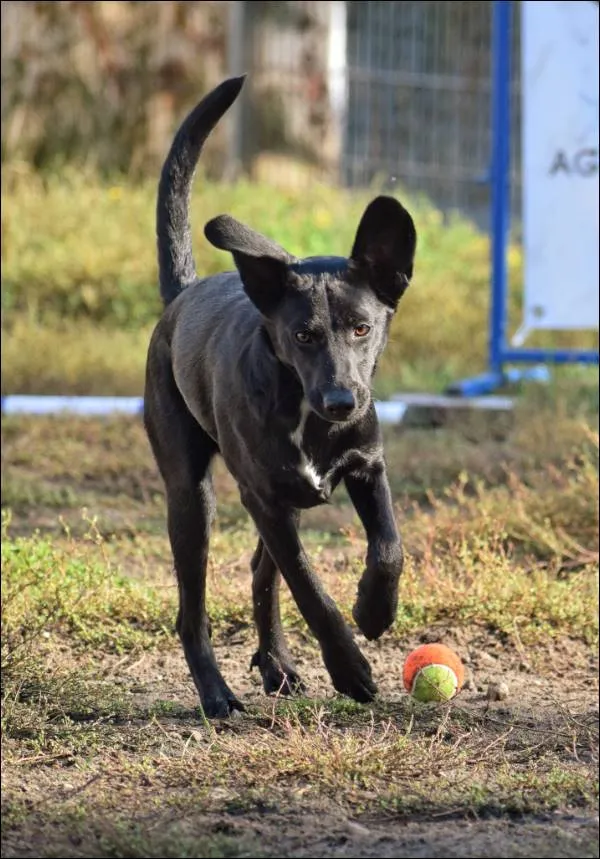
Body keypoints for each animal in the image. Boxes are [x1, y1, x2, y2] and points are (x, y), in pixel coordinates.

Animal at [145, 75, 418, 720]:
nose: (343, 401)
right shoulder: (264, 497)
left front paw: (375, 611)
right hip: (192, 496)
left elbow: (388, 547)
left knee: (258, 569)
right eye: (302, 336)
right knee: (192, 610)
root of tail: (183, 295)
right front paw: (350, 669)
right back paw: (216, 694)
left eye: (363, 328)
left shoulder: (367, 467)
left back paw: (277, 664)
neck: (303, 411)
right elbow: (309, 585)